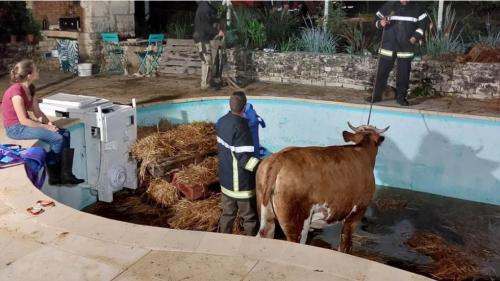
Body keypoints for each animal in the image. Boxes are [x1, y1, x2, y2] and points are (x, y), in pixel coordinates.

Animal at [256, 122, 388, 252]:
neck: (362, 150)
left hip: (265, 213)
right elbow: (345, 243)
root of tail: (279, 158)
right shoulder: (357, 212)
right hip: (297, 222)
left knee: (265, 232)